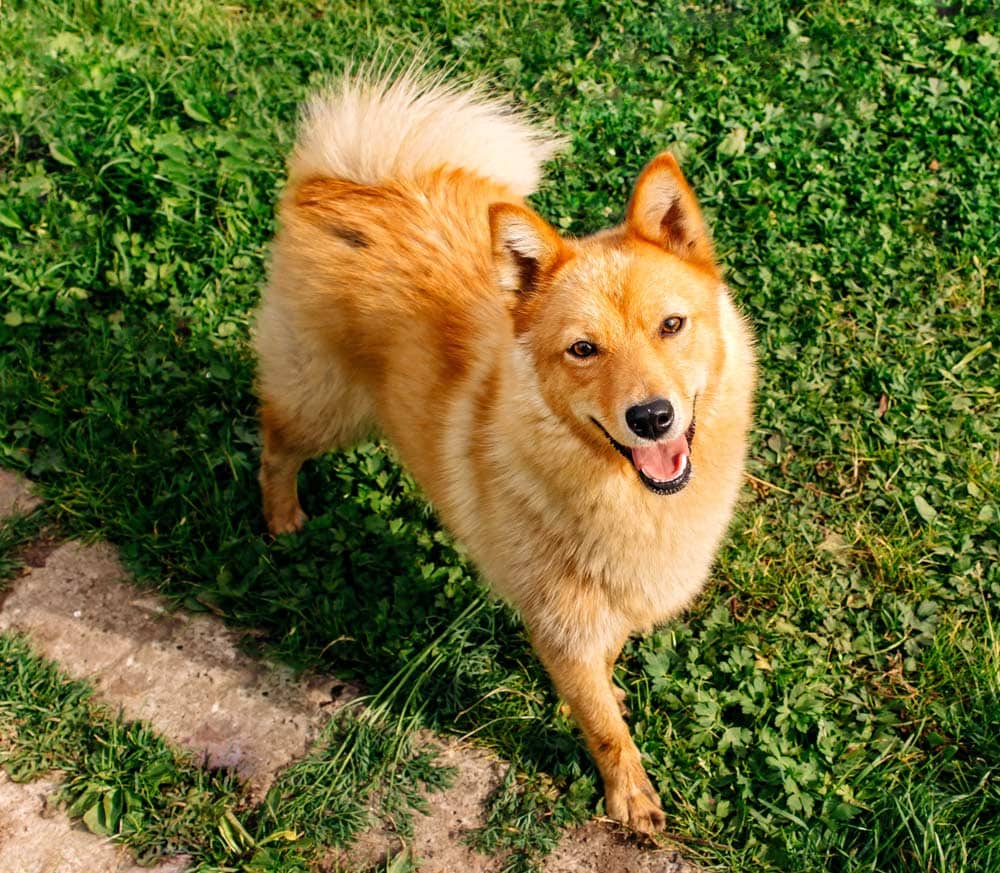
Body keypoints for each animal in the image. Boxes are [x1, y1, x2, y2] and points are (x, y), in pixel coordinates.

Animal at [254, 68, 752, 832]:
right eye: (583, 350)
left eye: (672, 325)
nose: (651, 416)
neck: (623, 495)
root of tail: (346, 182)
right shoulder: (560, 623)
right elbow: (605, 730)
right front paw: (628, 795)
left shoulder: (594, 616)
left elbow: (603, 678)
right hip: (325, 405)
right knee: (274, 442)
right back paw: (281, 516)